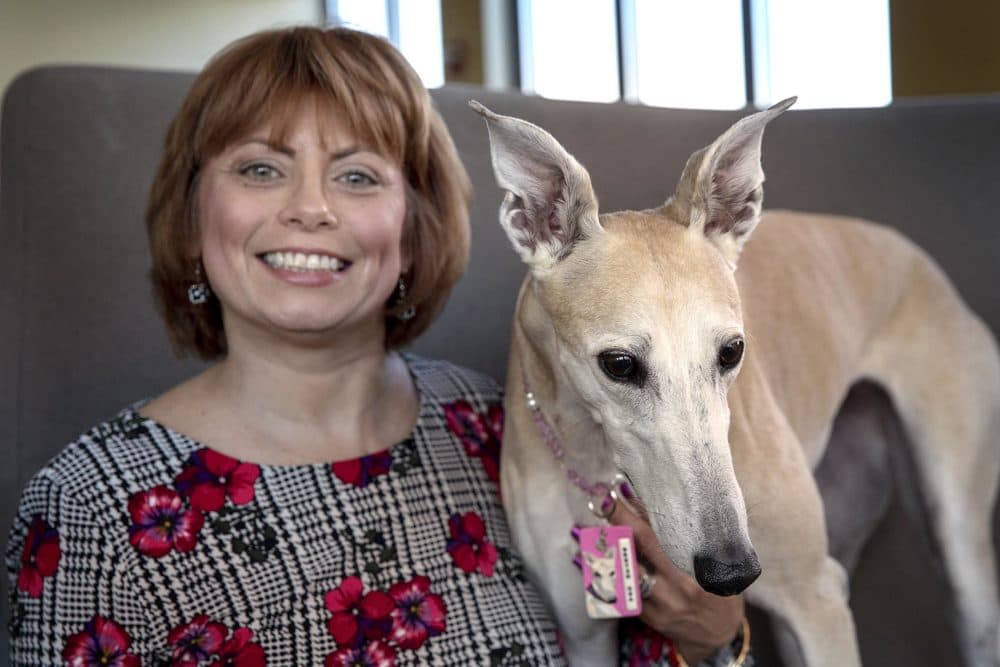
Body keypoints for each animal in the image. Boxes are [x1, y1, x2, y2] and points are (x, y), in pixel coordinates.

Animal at [472, 100, 1000, 667]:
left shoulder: (817, 601)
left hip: (949, 542)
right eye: (619, 364)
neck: (598, 464)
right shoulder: (583, 633)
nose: (732, 571)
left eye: (732, 351)